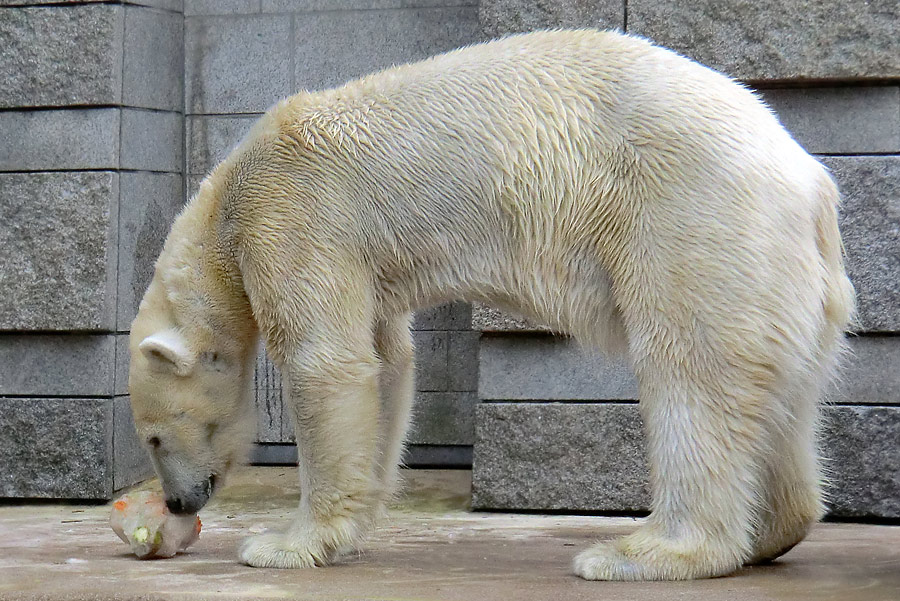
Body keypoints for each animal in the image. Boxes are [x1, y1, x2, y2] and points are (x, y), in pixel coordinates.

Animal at [126, 30, 852, 580]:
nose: (178, 500)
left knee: (691, 373)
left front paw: (284, 543)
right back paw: (772, 531)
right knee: (782, 390)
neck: (226, 202)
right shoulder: (364, 262)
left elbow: (325, 362)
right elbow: (386, 365)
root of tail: (811, 179)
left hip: (693, 219)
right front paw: (351, 527)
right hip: (786, 279)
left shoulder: (292, 215)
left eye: (154, 435)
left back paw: (643, 551)